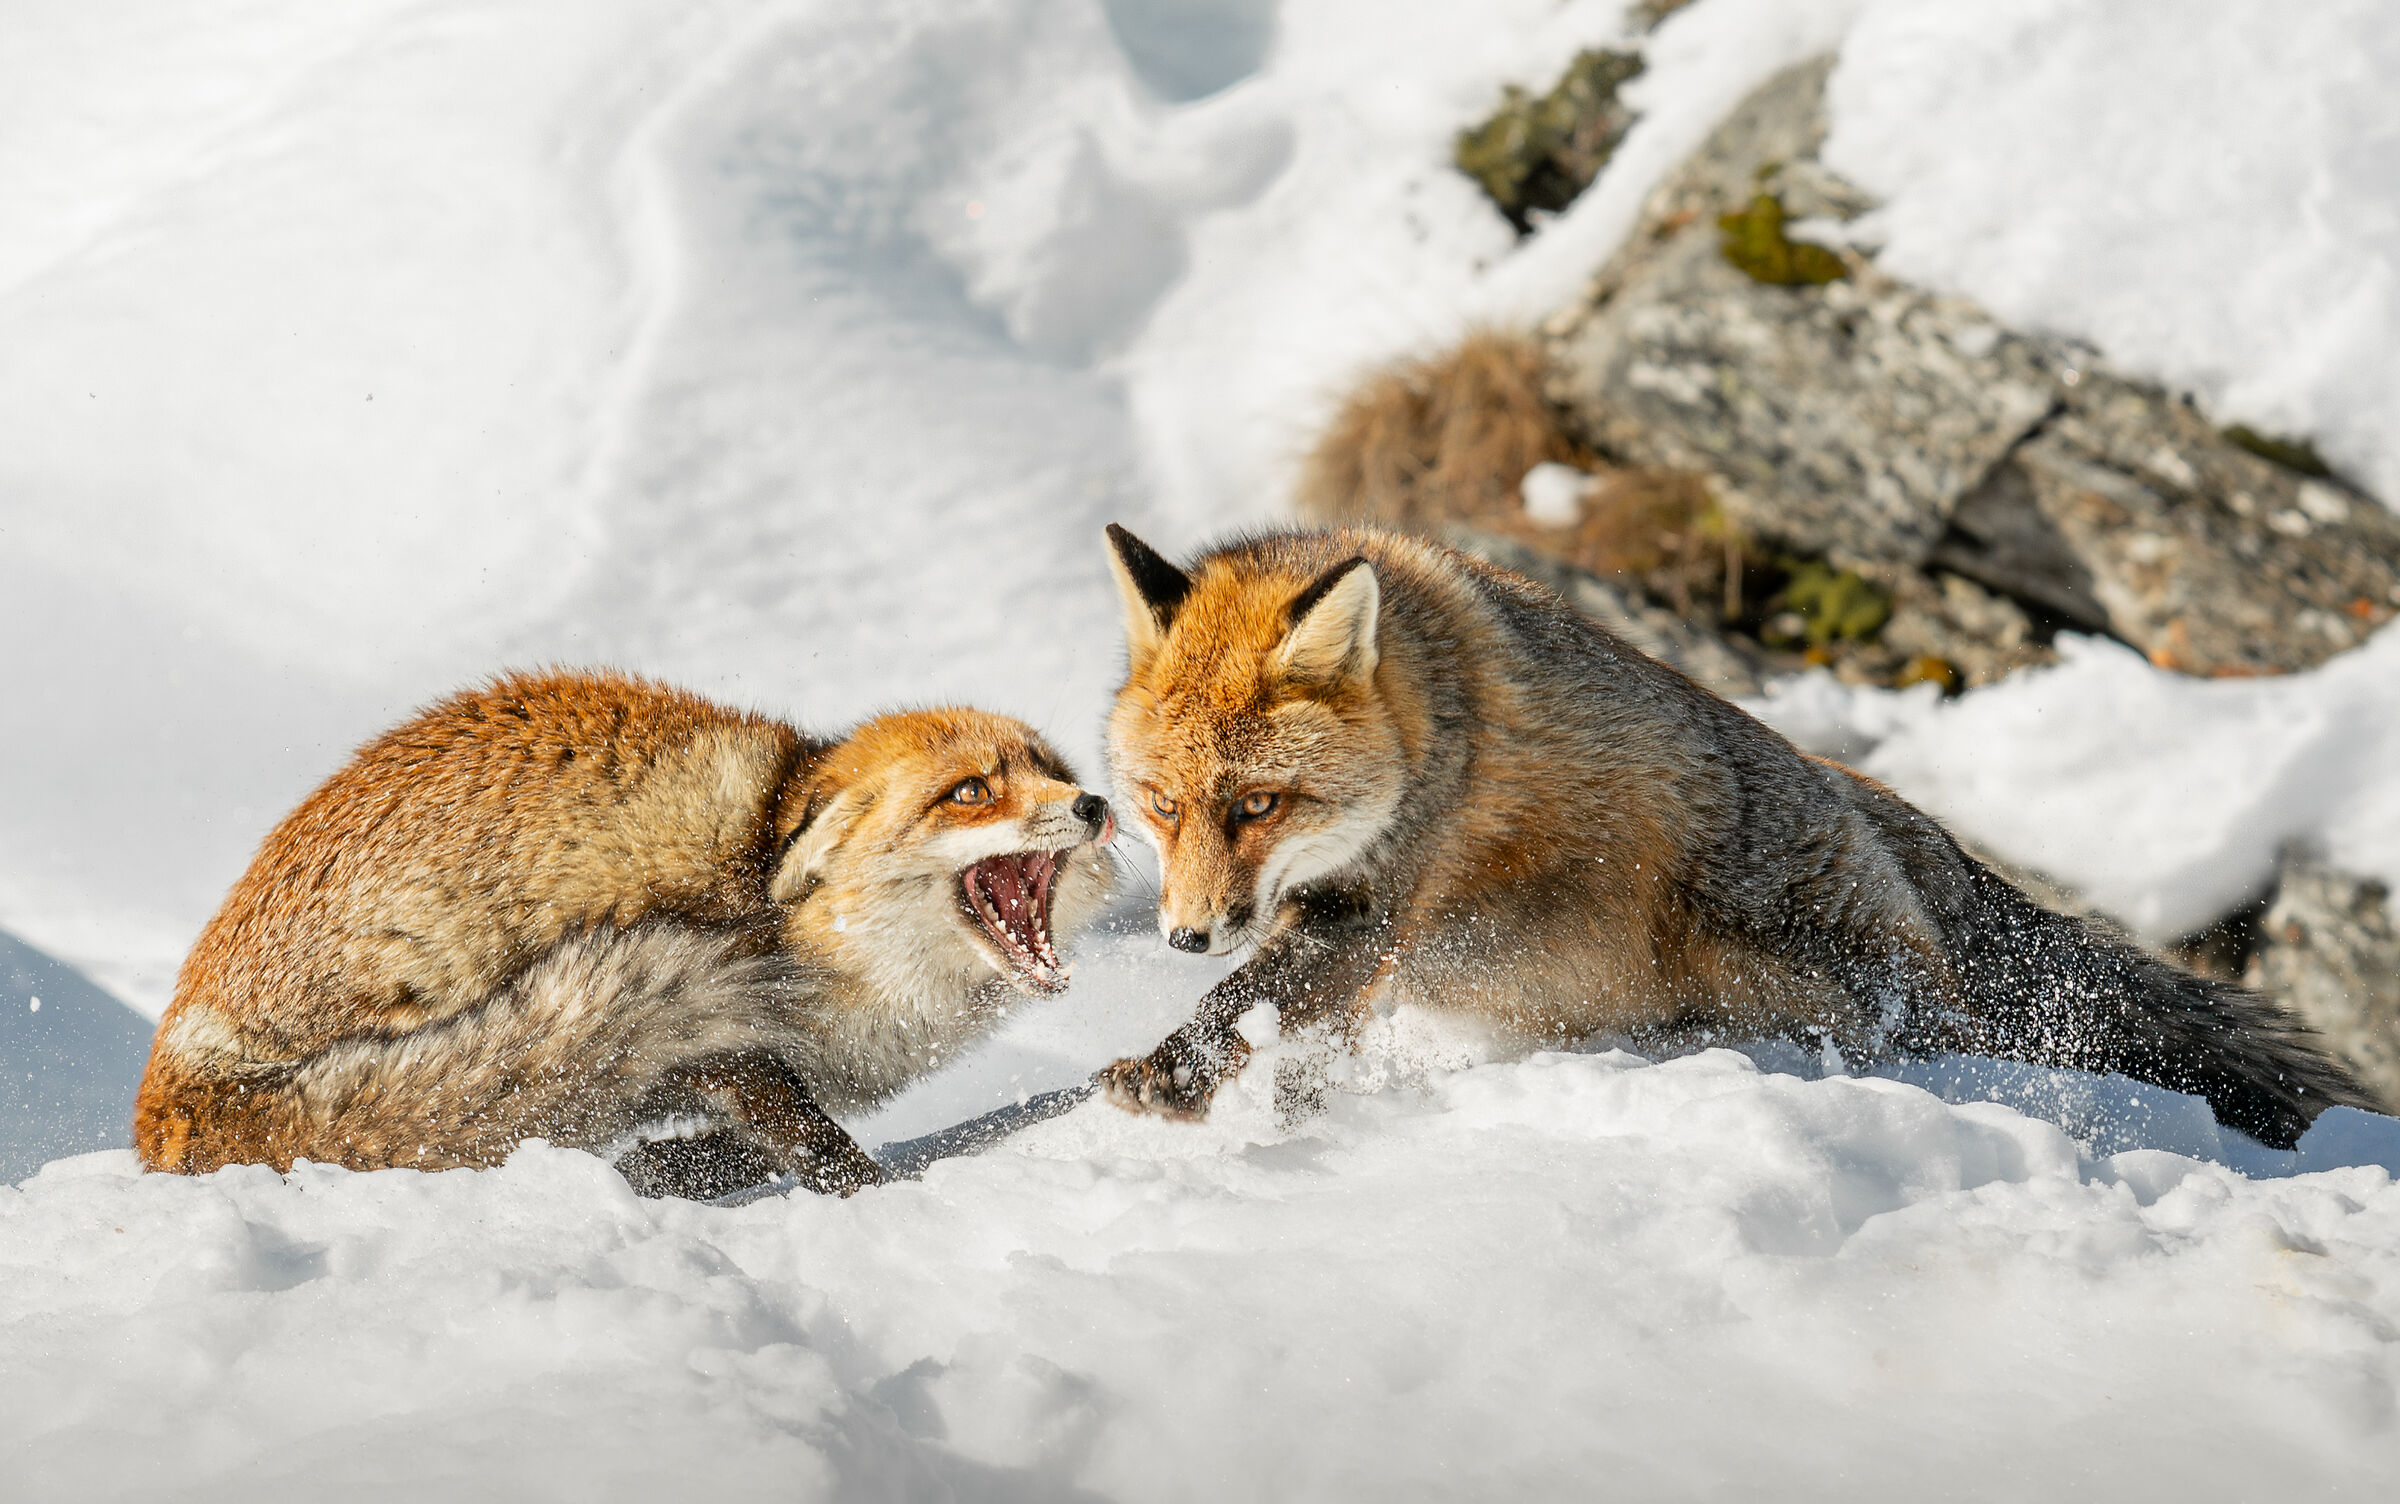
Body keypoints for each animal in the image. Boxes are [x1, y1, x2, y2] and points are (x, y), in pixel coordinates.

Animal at [132, 669, 1115, 1198]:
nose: (1096, 805)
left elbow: (737, 1141)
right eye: (971, 791)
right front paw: (872, 1196)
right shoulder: (728, 1027)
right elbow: (800, 1128)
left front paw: (671, 1169)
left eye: (1051, 768)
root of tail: (162, 1108)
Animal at [1095, 523, 2373, 1149]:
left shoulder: (1374, 903)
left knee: (1948, 1041)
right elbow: (1293, 1036)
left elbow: (1248, 1006)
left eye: (1258, 806)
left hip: (1820, 969)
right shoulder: (1363, 949)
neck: (1430, 707)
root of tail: (1877, 807)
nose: (1186, 936)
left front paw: (1170, 1072)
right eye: (1164, 805)